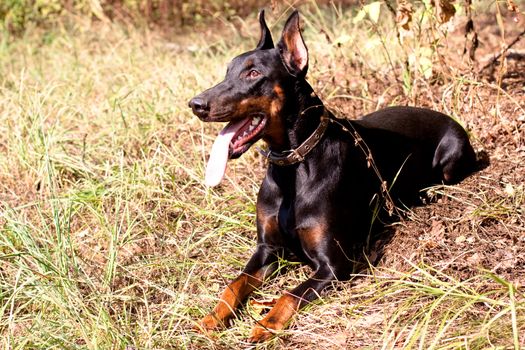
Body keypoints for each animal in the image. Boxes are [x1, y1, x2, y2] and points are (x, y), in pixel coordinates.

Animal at [188, 10, 478, 342]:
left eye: (253, 74)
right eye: (227, 72)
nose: (196, 104)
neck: (293, 169)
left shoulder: (334, 265)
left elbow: (289, 294)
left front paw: (266, 323)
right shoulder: (267, 249)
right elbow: (233, 284)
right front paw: (211, 317)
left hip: (452, 155)